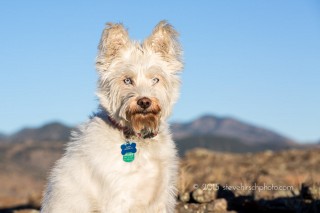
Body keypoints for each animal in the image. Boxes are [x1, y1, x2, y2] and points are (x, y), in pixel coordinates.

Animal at [41, 21, 184, 213]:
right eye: (127, 80)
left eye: (155, 79)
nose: (144, 101)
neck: (138, 138)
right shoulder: (118, 198)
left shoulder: (160, 196)